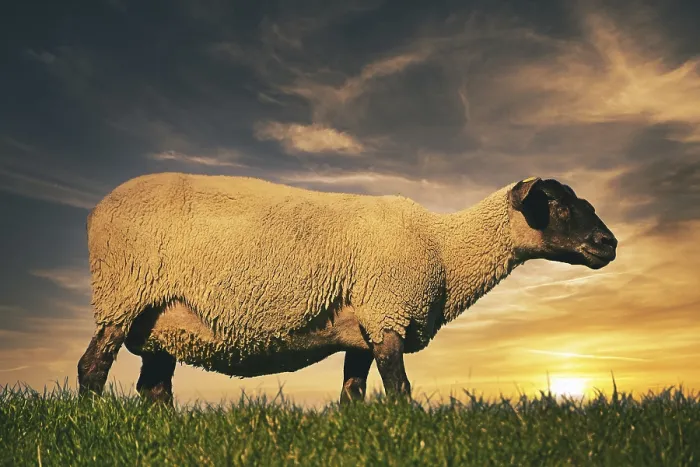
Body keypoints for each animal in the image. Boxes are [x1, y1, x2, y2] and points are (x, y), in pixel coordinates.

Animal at [77, 173, 618, 404]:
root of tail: (98, 208)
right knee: (91, 369)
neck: (443, 248)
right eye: (556, 204)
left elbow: (352, 394)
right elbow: (400, 389)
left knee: (154, 388)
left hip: (162, 321)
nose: (608, 244)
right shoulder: (388, 310)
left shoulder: (364, 325)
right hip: (123, 293)